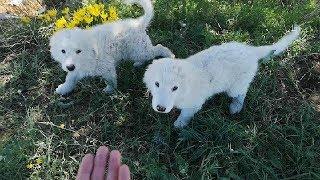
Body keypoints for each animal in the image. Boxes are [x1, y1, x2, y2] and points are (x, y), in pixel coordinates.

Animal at [144, 26, 302, 128]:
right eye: (157, 84)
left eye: (175, 88)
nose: (160, 108)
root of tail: (250, 51)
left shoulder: (194, 104)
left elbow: (186, 114)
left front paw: (180, 124)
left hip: (236, 85)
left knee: (241, 93)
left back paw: (236, 106)